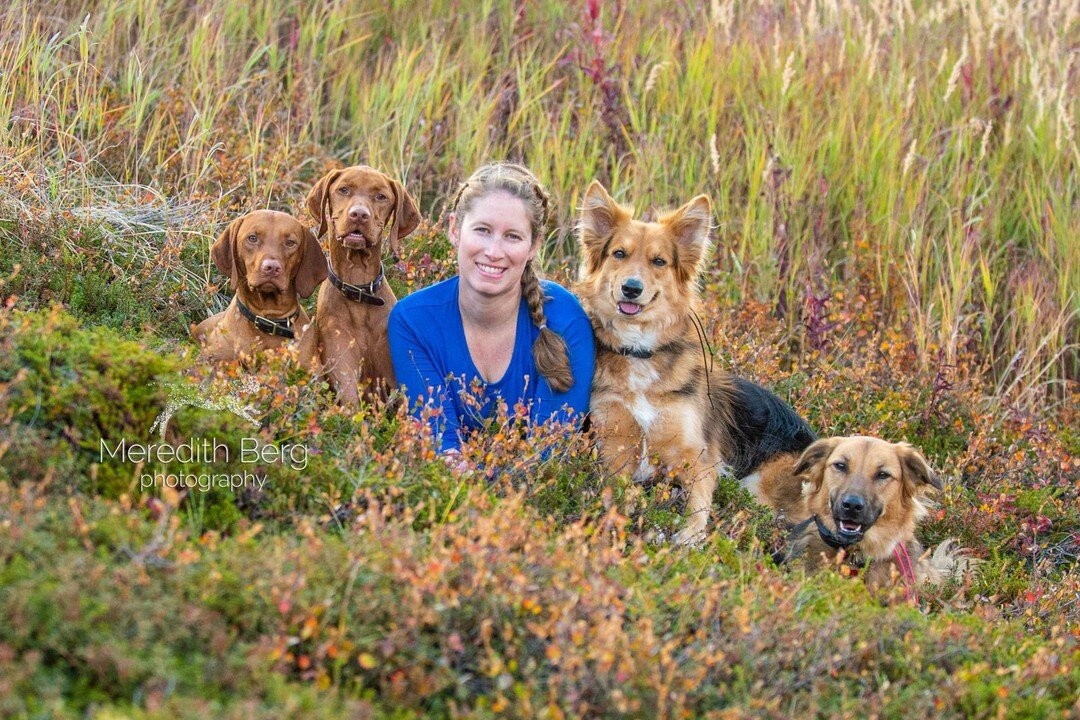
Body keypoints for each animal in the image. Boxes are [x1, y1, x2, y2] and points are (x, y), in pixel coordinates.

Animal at [578, 181, 812, 546]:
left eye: (659, 261)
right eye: (619, 254)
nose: (632, 288)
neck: (640, 351)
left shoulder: (700, 457)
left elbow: (698, 508)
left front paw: (687, 539)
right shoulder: (614, 447)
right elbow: (617, 494)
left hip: (758, 486)